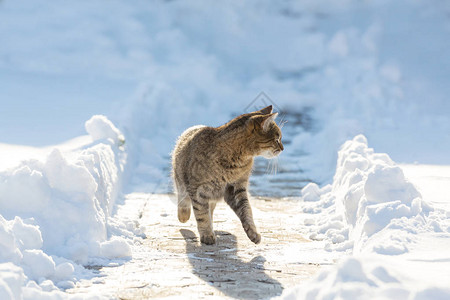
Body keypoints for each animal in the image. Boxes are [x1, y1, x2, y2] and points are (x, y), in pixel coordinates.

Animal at [171, 105, 284, 244]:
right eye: (277, 139)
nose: (283, 148)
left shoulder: (236, 188)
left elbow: (246, 210)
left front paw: (252, 232)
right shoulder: (196, 189)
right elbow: (201, 214)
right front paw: (207, 234)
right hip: (181, 179)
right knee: (183, 197)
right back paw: (184, 215)